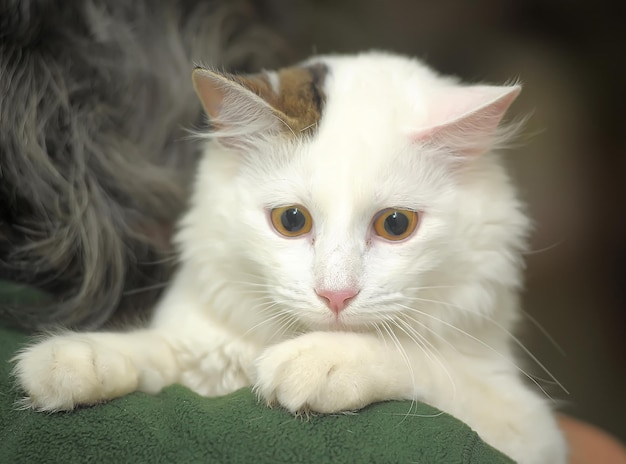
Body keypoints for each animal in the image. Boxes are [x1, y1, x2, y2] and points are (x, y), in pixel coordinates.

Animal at [12, 51, 564, 464]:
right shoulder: (205, 346)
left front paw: (320, 362)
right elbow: (159, 351)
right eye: (291, 221)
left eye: (396, 226)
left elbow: (423, 362)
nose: (336, 295)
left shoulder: (526, 424)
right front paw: (73, 360)